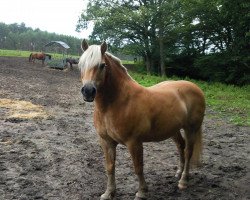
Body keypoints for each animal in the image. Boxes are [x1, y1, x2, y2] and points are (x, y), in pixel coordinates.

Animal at [79, 39, 206, 199]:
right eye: (81, 64)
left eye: (102, 65)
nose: (88, 91)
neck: (117, 102)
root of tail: (196, 87)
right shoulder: (106, 141)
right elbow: (110, 167)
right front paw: (109, 193)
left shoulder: (134, 142)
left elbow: (138, 167)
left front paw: (141, 192)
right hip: (174, 129)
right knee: (180, 146)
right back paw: (179, 172)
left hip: (191, 128)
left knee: (189, 151)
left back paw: (183, 181)